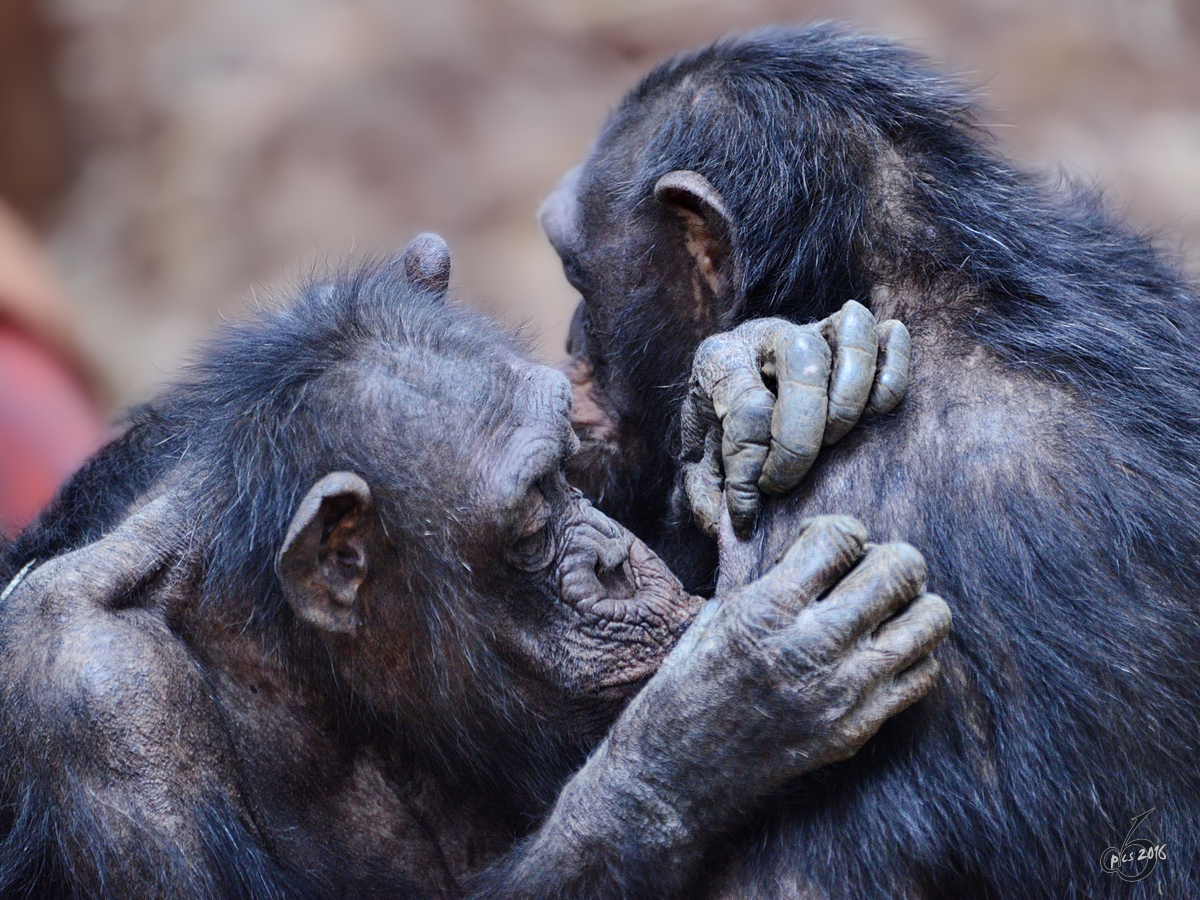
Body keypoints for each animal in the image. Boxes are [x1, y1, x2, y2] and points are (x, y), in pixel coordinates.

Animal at [2, 240, 955, 900]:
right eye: (535, 508)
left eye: (569, 469)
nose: (614, 558)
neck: (289, 652)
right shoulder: (97, 700)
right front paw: (729, 705)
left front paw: (762, 371)